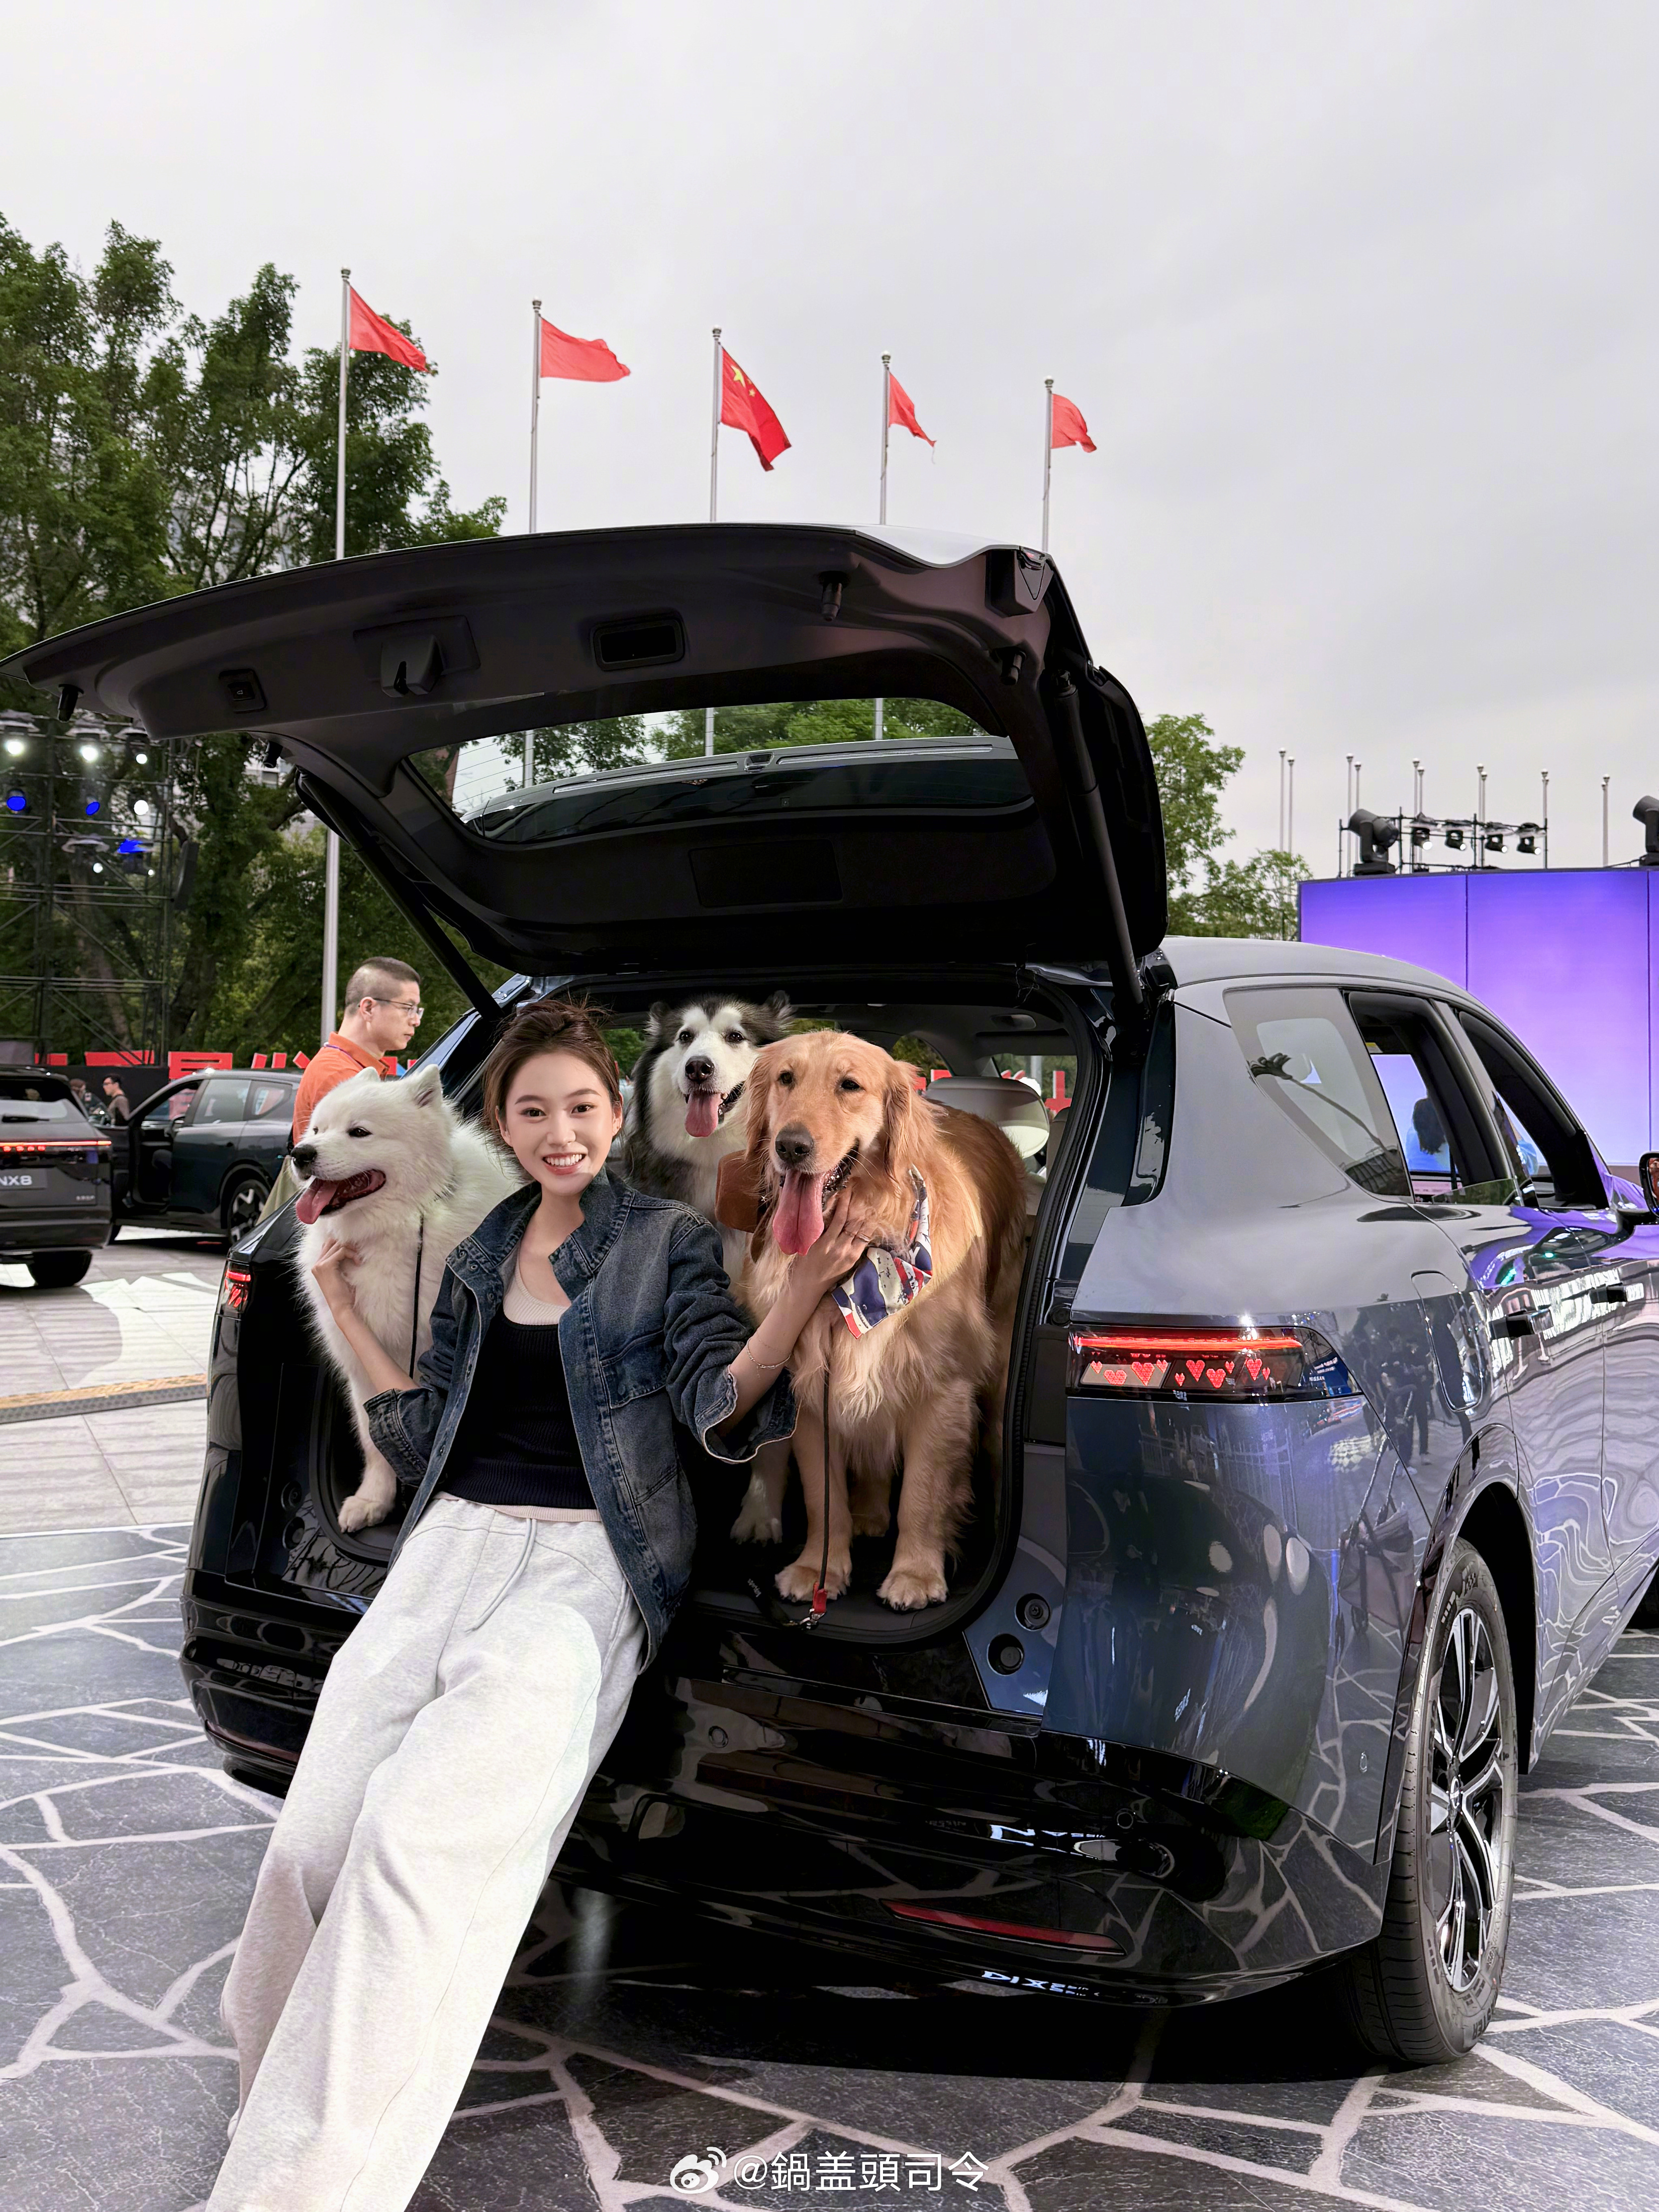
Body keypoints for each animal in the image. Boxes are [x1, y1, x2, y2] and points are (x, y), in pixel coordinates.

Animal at [290, 1062, 525, 1532]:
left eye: (359, 1132)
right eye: (318, 1129)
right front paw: (373, 1501)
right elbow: (373, 1438)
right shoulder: (363, 1364)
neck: (402, 1225)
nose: (300, 1154)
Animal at [732, 1030, 1028, 1609]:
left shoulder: (941, 1386)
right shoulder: (813, 1387)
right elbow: (823, 1496)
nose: (790, 1147)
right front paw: (818, 1570)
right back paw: (869, 1514)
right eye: (785, 1079)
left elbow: (922, 1493)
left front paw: (915, 1574)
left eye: (849, 1085)